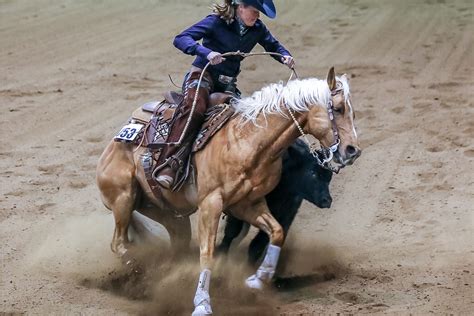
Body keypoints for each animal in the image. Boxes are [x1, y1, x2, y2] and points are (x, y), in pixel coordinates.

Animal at [98, 68, 362, 314]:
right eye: (338, 109)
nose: (352, 150)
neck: (248, 142)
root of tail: (115, 144)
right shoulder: (211, 204)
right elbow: (208, 254)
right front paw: (202, 303)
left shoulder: (248, 204)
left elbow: (276, 233)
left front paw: (257, 279)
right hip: (123, 197)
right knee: (118, 244)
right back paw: (142, 274)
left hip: (166, 213)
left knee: (172, 243)